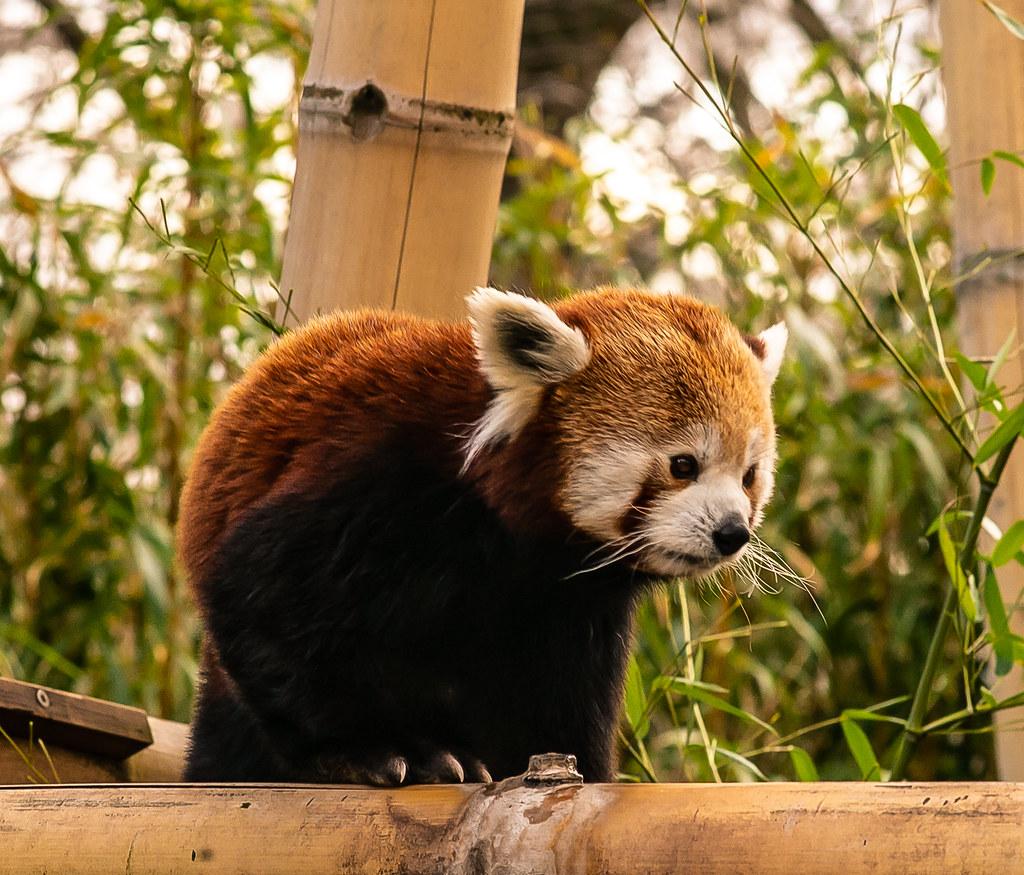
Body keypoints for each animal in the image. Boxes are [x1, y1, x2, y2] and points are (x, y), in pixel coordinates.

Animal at [178, 288, 782, 786]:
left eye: (749, 476)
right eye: (683, 465)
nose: (732, 532)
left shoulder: (570, 607)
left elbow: (564, 700)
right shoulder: (380, 484)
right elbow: (260, 596)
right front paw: (381, 750)